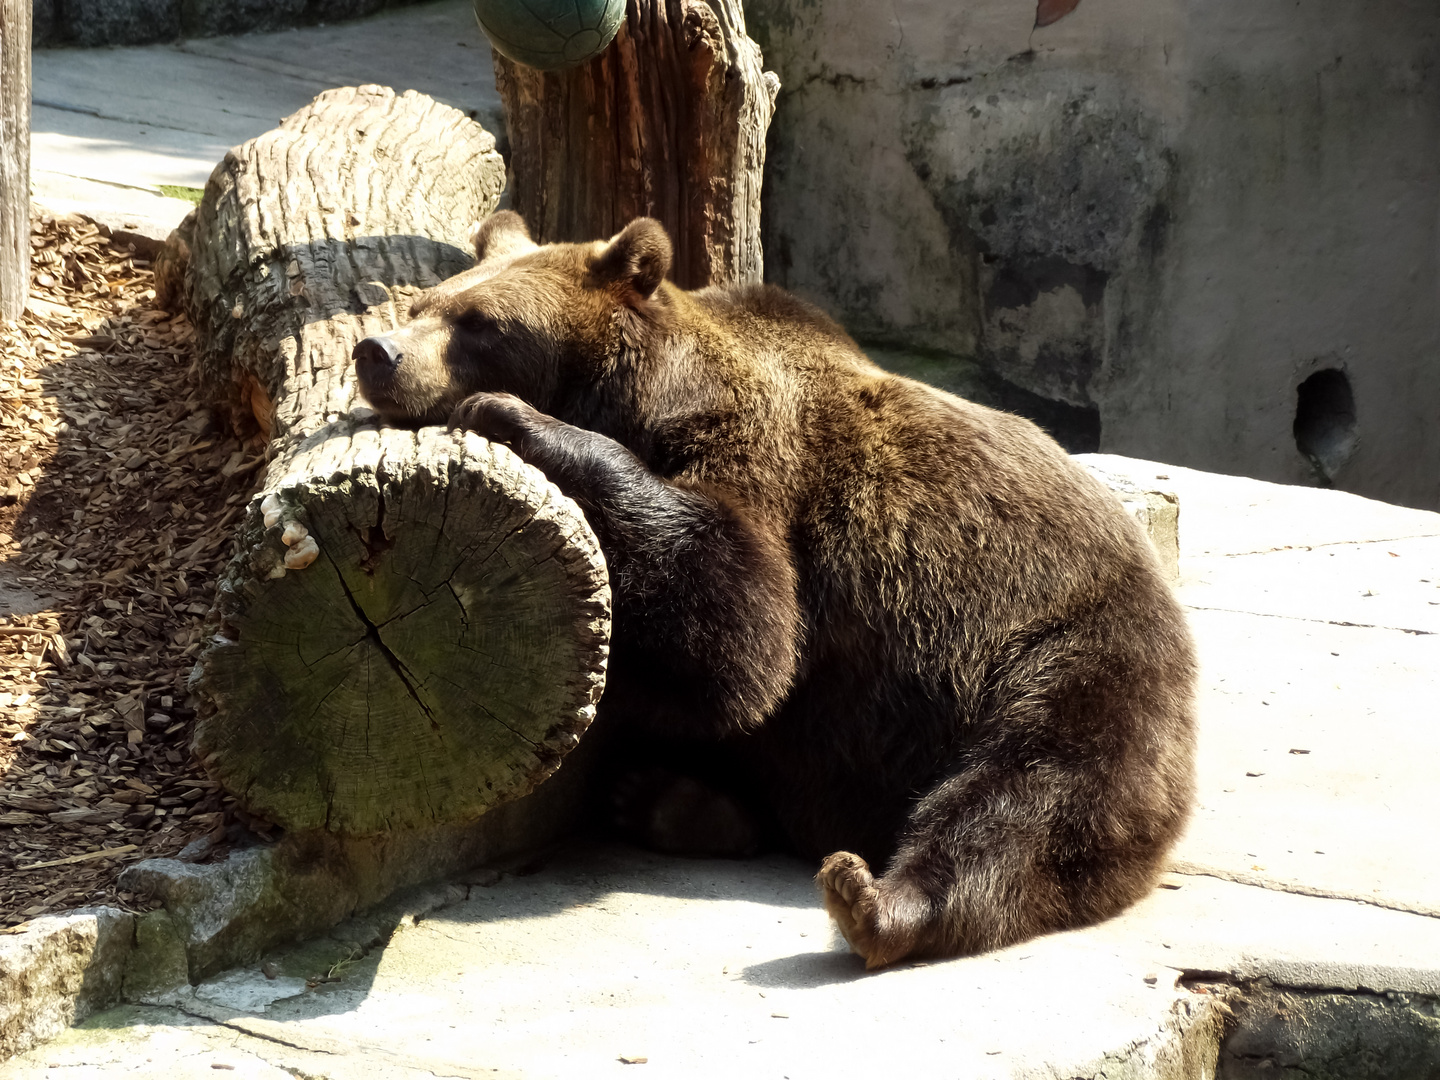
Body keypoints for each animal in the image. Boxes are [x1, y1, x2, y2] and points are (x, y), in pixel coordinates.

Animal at [348, 213, 1192, 973]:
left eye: (481, 323)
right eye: (424, 303)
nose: (377, 352)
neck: (648, 397)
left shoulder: (767, 465)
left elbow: (740, 629)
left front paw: (508, 414)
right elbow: (716, 666)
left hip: (1066, 650)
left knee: (1032, 790)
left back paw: (876, 902)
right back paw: (667, 800)